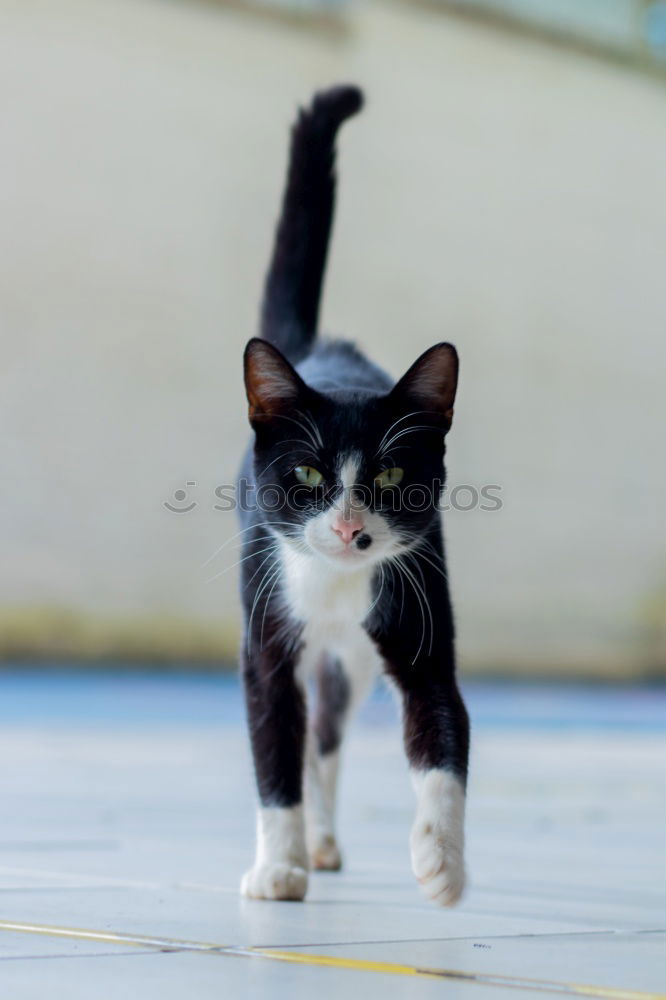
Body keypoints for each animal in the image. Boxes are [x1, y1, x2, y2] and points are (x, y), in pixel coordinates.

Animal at [236, 86, 470, 908]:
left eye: (392, 478)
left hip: (355, 660)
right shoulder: (266, 639)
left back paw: (328, 840)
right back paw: (305, 846)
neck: (336, 586)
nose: (347, 530)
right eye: (308, 477)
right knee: (306, 737)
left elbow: (441, 733)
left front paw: (441, 860)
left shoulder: (421, 619)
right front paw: (279, 867)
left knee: (331, 734)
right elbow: (274, 749)